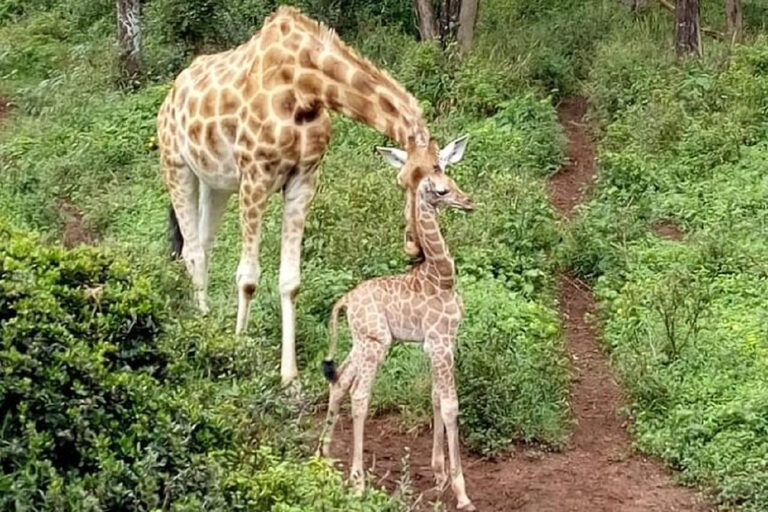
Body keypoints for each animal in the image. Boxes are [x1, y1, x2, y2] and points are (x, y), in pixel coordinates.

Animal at [156, 7, 468, 384]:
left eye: (440, 188)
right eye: (401, 181)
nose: (413, 245)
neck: (306, 87)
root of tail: (172, 92)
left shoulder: (304, 179)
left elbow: (291, 281)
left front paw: (289, 376)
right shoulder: (255, 175)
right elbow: (248, 277)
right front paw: (238, 347)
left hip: (215, 183)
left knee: (200, 244)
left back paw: (205, 319)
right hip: (176, 163)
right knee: (192, 250)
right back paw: (202, 327)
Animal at [316, 171, 474, 512]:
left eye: (454, 181)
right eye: (442, 191)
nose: (468, 202)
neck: (442, 277)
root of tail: (345, 300)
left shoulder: (440, 342)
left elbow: (435, 397)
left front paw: (439, 476)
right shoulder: (440, 340)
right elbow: (450, 405)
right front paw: (461, 492)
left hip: (363, 340)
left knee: (340, 381)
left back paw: (324, 456)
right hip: (376, 343)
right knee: (360, 395)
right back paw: (358, 483)